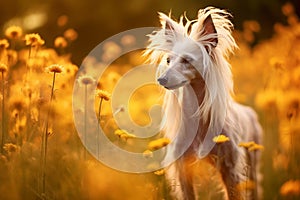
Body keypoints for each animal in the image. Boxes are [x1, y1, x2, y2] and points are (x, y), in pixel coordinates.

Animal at [145, 6, 262, 200]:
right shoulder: (183, 170)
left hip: (252, 161)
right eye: (168, 60)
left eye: (187, 60)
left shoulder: (230, 168)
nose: (161, 80)